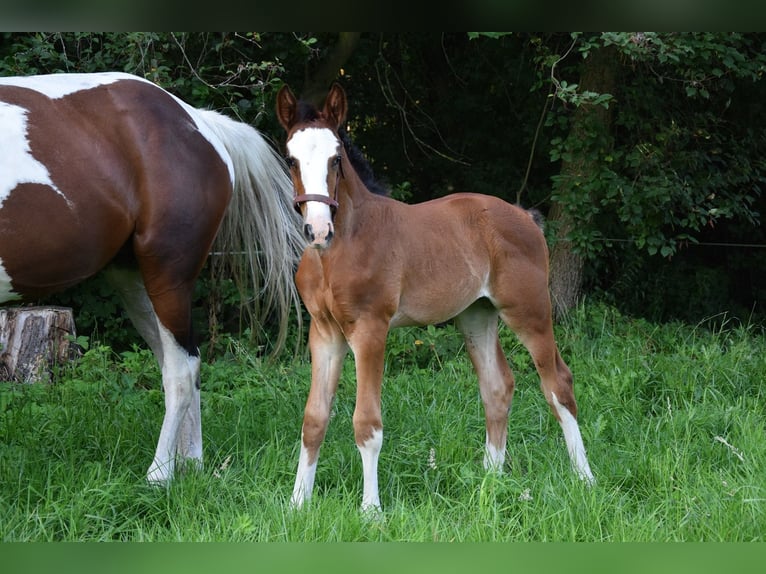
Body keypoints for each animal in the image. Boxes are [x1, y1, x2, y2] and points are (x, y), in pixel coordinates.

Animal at [0, 71, 304, 484]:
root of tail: (197, 121)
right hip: (135, 281)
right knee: (182, 364)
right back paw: (190, 466)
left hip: (169, 276)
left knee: (181, 371)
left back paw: (160, 474)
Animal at [276, 82, 595, 512]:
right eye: (291, 158)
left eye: (336, 158)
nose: (318, 229)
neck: (339, 249)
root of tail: (524, 215)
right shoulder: (324, 334)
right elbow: (313, 419)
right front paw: (297, 505)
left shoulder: (371, 330)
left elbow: (367, 424)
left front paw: (371, 510)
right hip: (476, 315)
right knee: (497, 386)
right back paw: (489, 481)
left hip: (529, 311)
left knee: (558, 383)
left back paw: (584, 478)